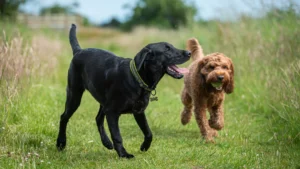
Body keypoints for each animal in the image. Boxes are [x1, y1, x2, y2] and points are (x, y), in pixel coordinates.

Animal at [56, 24, 190, 158]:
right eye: (167, 49)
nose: (189, 52)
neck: (136, 79)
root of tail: (79, 51)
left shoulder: (138, 111)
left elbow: (148, 132)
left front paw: (144, 146)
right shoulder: (112, 112)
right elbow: (117, 136)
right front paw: (124, 154)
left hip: (103, 102)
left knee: (98, 118)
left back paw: (106, 142)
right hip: (74, 95)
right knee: (64, 117)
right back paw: (61, 143)